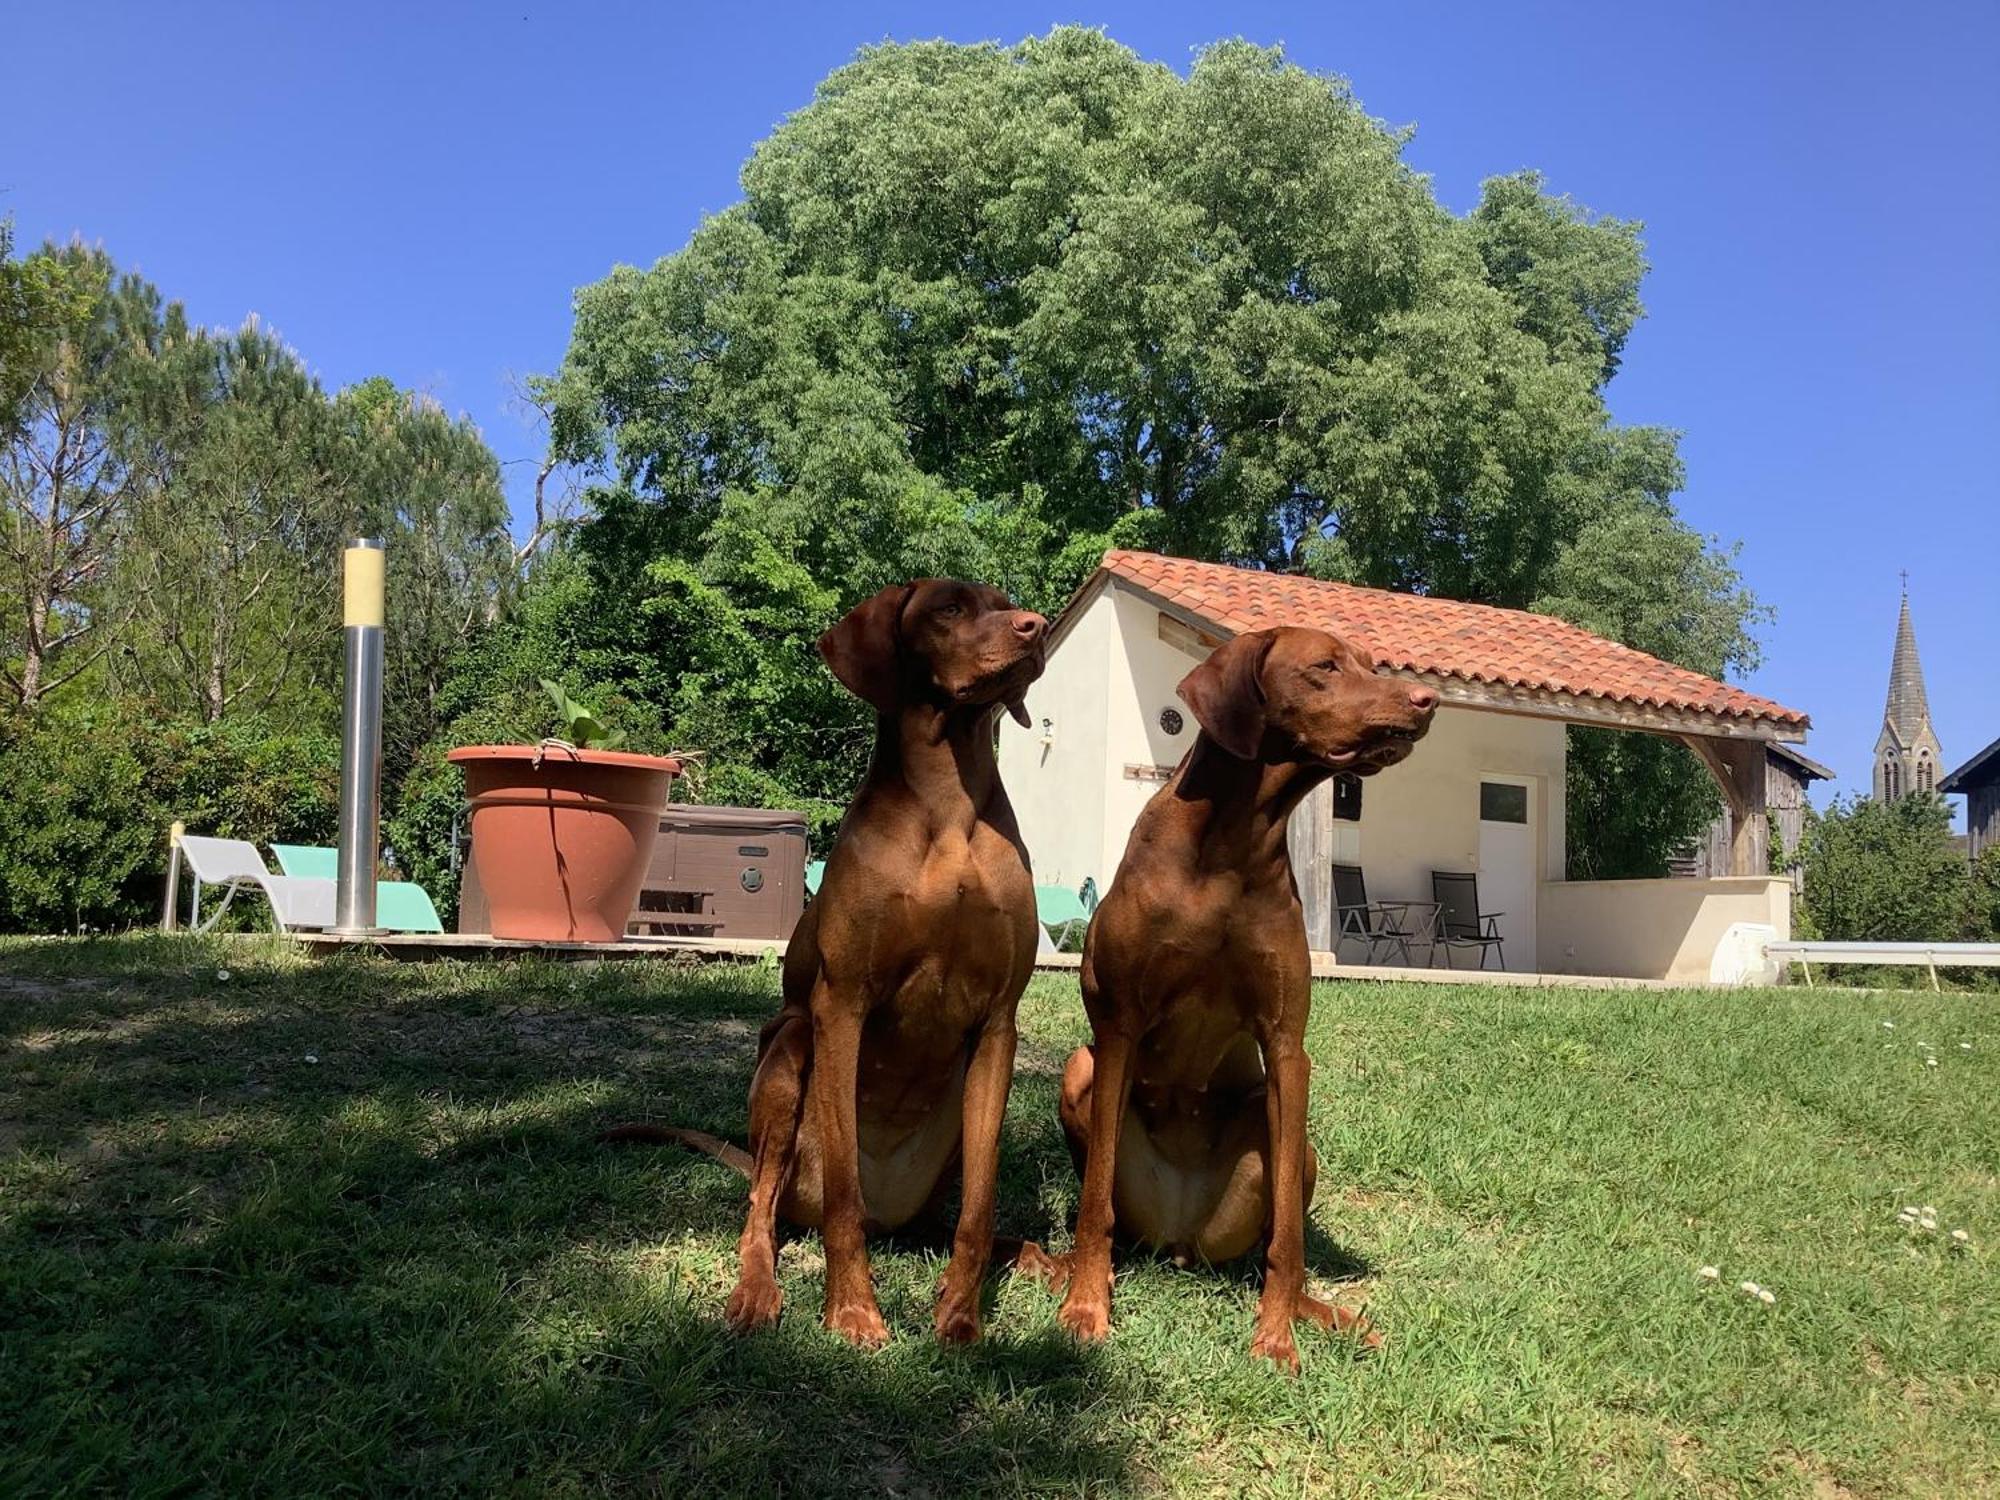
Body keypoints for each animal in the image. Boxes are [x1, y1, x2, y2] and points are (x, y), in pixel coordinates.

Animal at [712, 580, 1048, 1352]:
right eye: (949, 608)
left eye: (1005, 601)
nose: (1036, 626)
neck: (949, 807)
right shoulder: (843, 1006)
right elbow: (842, 1198)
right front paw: (853, 1310)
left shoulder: (998, 1024)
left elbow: (980, 1208)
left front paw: (961, 1315)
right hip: (789, 1051)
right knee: (763, 1211)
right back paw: (757, 1291)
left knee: (948, 1220)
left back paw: (1044, 1258)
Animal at [1048, 624, 1440, 1376]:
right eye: (1326, 666)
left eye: (1369, 664)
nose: (1426, 698)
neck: (1229, 845)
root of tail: (1179, 1238)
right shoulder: (1118, 1029)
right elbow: (1093, 1203)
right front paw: (1085, 1307)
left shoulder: (1287, 1046)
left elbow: (1288, 1236)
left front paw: (1277, 1336)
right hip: (1080, 1069)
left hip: (1290, 1137)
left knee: (1270, 1242)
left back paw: (1326, 1314)